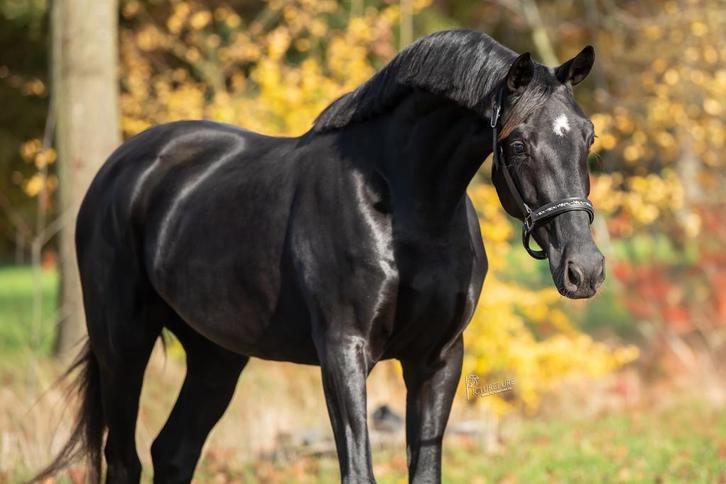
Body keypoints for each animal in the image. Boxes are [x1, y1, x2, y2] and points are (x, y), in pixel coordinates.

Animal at [36, 29, 603, 484]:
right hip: (122, 343)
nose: (585, 269)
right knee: (123, 459)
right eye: (518, 144)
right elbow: (358, 471)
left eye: (588, 136)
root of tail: (124, 167)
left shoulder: (438, 358)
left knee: (173, 452)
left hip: (216, 357)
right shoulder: (343, 351)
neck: (405, 204)